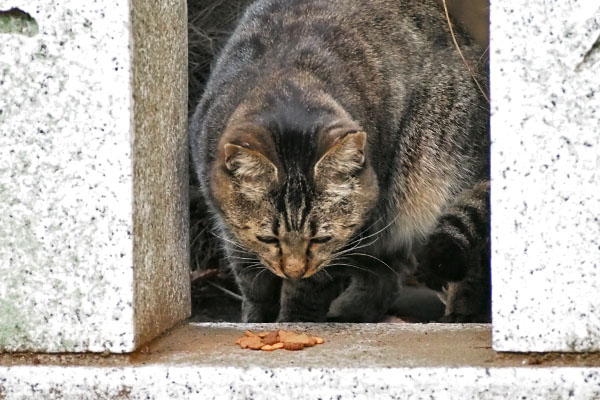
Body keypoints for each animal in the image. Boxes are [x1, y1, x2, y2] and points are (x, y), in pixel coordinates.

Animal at [190, 0, 490, 322]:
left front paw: (294, 321)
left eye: (320, 239)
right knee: (386, 276)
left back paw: (461, 315)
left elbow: (306, 291)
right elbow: (253, 284)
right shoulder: (231, 232)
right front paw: (257, 322)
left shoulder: (345, 239)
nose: (293, 270)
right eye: (268, 239)